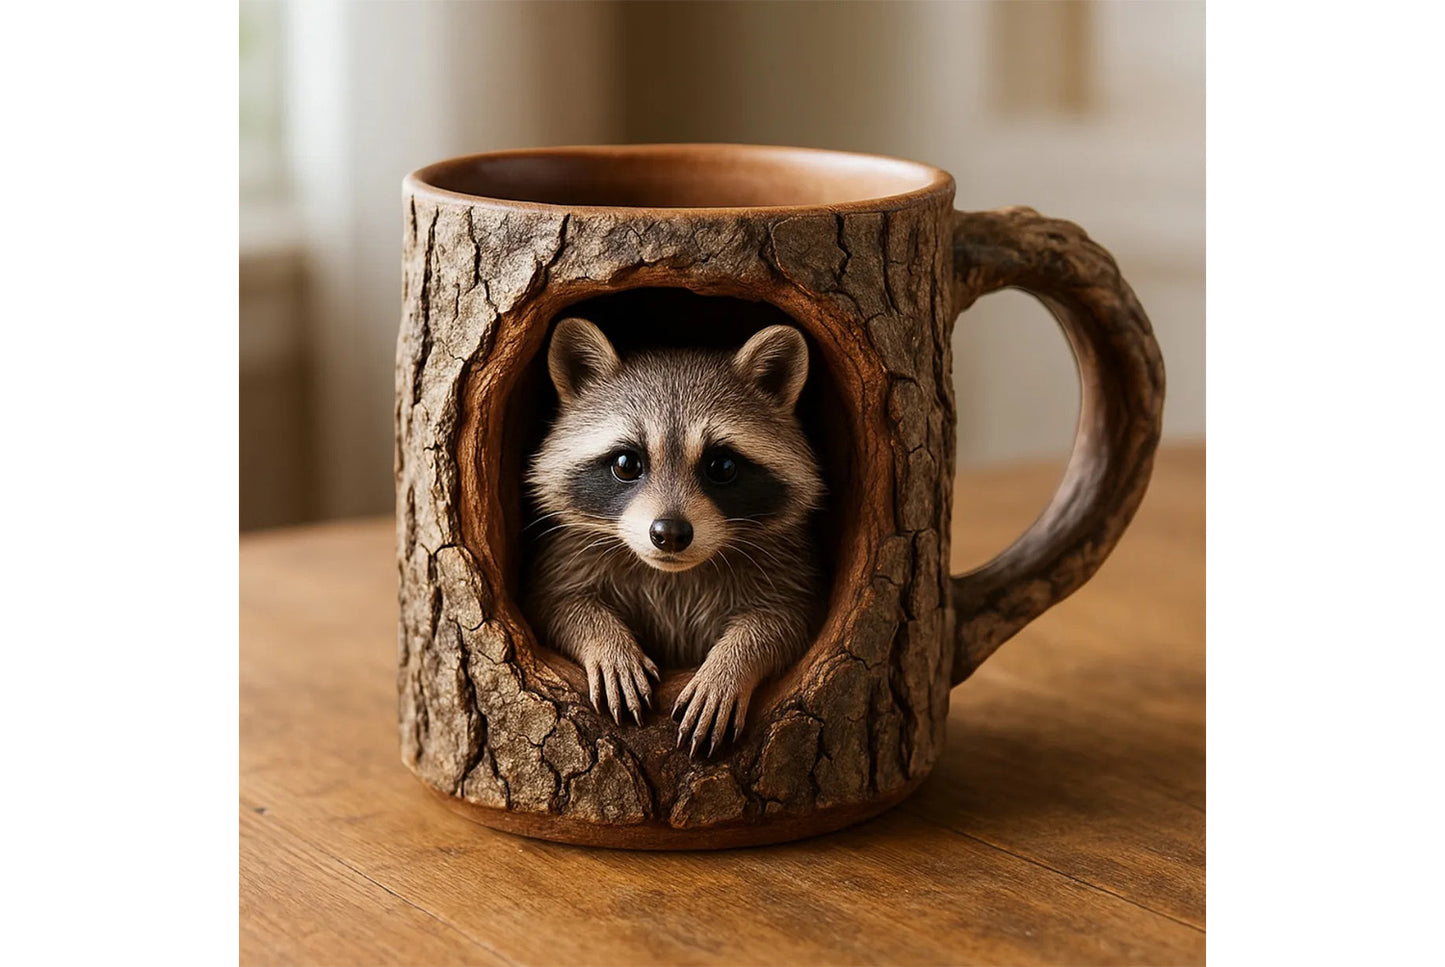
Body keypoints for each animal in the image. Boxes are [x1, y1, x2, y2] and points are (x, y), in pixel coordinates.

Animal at [524, 317, 826, 756]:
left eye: (721, 466)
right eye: (626, 463)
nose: (669, 534)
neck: (674, 574)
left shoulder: (786, 565)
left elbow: (783, 620)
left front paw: (731, 665)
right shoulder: (569, 553)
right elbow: (558, 603)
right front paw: (606, 641)